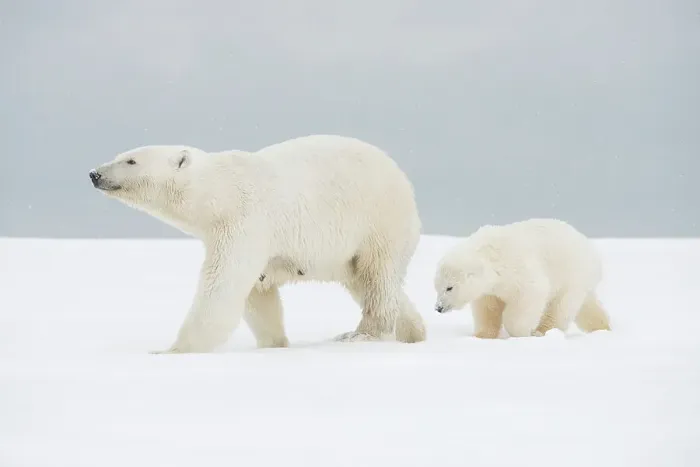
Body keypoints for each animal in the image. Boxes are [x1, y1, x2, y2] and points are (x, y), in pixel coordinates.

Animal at [88, 134, 426, 353]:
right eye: (121, 155)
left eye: (130, 160)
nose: (94, 173)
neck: (219, 191)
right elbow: (257, 293)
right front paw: (273, 344)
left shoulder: (244, 222)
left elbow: (223, 287)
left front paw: (173, 350)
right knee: (367, 281)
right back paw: (414, 331)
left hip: (379, 222)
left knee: (377, 275)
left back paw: (361, 334)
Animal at [433, 218, 611, 339]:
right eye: (436, 287)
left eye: (449, 287)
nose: (438, 308)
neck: (490, 254)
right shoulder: (489, 290)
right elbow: (488, 308)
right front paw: (481, 335)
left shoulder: (518, 269)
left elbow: (528, 297)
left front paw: (521, 333)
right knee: (587, 305)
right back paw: (602, 326)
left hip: (570, 274)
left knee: (560, 308)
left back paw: (541, 331)